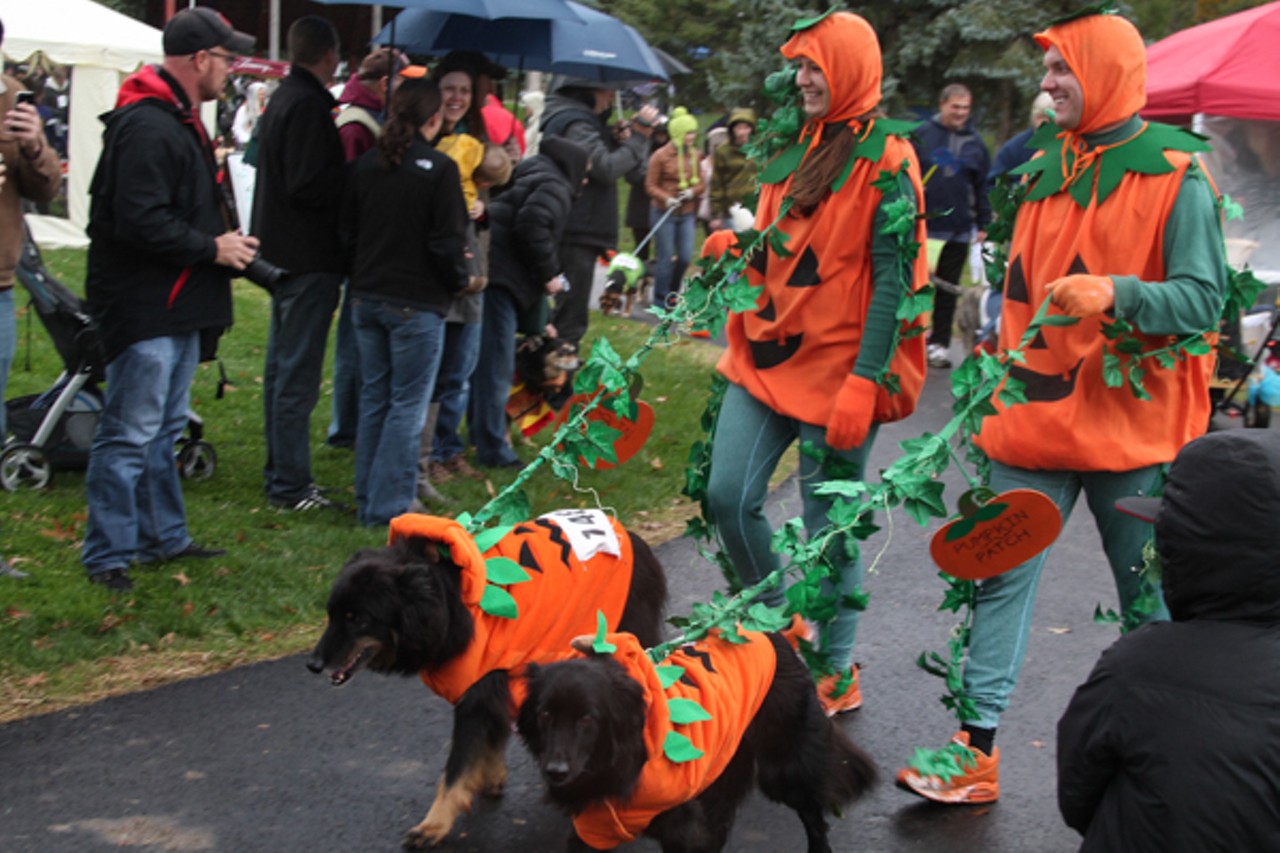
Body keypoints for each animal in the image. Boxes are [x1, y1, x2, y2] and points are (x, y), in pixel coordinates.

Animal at [309, 507, 670, 845]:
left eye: (358, 618)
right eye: (332, 614)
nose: (313, 664)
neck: (447, 600)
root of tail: (634, 540)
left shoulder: (478, 692)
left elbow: (455, 768)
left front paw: (434, 824)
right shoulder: (497, 684)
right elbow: (491, 736)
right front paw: (490, 776)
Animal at [519, 625, 880, 850]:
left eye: (587, 718)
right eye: (544, 714)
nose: (555, 771)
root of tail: (772, 633)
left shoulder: (681, 830)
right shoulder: (592, 830)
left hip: (784, 771)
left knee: (813, 817)